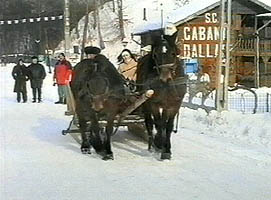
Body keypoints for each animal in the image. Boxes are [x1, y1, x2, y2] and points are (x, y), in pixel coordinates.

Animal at [137, 31, 188, 159]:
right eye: (155, 55)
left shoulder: (174, 105)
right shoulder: (154, 104)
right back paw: (151, 143)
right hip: (146, 103)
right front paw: (159, 142)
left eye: (173, 53)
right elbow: (159, 124)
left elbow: (168, 126)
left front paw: (167, 150)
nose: (165, 78)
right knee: (150, 123)